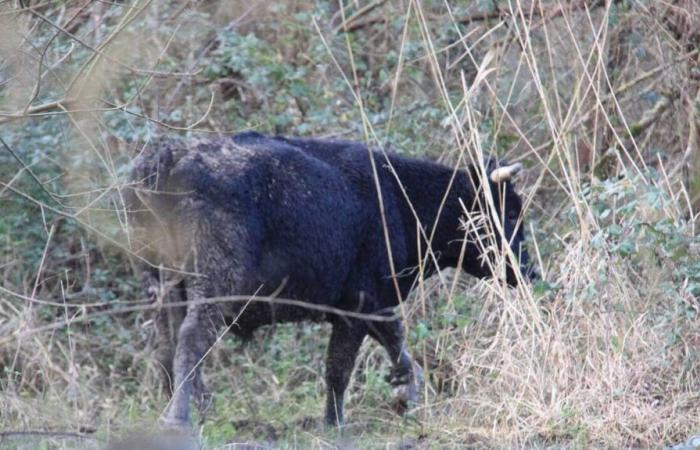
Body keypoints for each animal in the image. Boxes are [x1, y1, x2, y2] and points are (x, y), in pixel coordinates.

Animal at [126, 132, 536, 428]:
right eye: (507, 213)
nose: (528, 272)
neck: (398, 197)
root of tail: (169, 158)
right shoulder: (354, 308)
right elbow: (338, 369)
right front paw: (336, 421)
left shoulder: (369, 303)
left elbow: (394, 336)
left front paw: (406, 386)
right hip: (214, 285)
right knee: (191, 339)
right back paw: (181, 417)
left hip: (163, 288)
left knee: (166, 344)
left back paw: (194, 405)